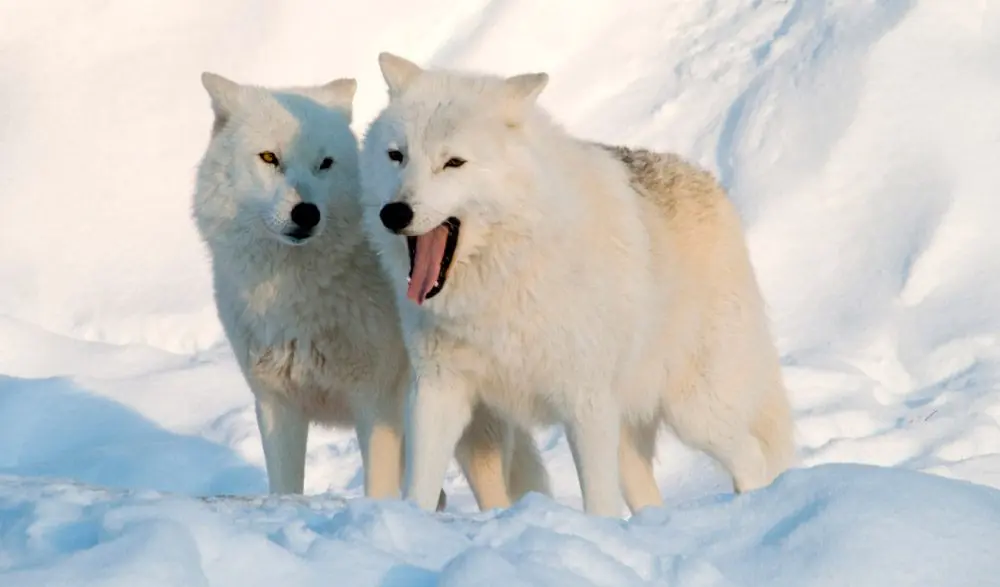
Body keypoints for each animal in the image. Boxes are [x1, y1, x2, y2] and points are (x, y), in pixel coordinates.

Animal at [190, 72, 550, 511]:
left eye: (325, 163)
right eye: (269, 158)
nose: (306, 212)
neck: (298, 292)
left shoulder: (376, 404)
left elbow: (377, 489)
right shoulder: (277, 405)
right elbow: (286, 488)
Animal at [357, 53, 796, 517]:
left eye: (453, 163)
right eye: (397, 156)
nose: (394, 213)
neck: (505, 279)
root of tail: (711, 183)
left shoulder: (586, 402)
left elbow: (598, 505)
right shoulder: (437, 391)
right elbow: (419, 489)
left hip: (695, 413)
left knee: (752, 458)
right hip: (632, 438)